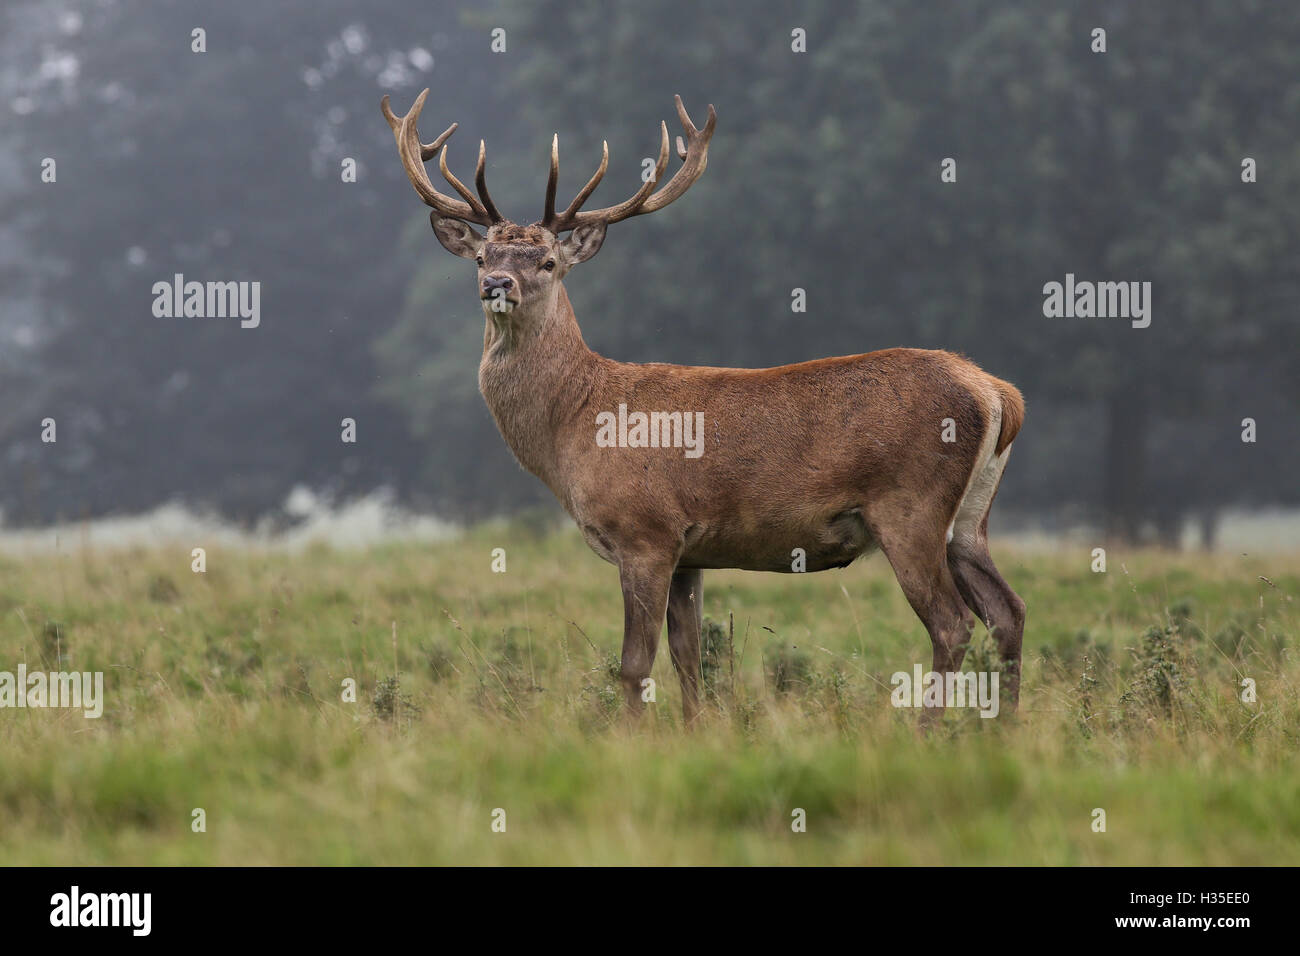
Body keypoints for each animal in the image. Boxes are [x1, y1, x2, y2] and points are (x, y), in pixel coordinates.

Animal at [382, 89, 1026, 725]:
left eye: (547, 263)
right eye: (482, 255)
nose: (496, 285)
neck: (576, 427)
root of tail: (997, 393)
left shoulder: (644, 531)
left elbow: (634, 665)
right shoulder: (690, 552)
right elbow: (688, 655)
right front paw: (697, 733)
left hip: (909, 505)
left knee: (952, 622)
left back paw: (928, 733)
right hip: (971, 518)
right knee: (1009, 612)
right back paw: (1007, 728)